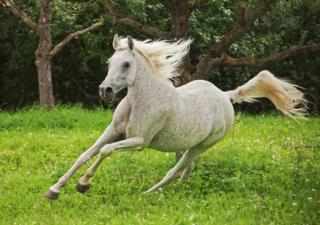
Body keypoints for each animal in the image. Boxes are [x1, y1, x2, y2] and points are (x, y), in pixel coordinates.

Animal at [44, 34, 304, 200]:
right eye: (110, 62)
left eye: (126, 64)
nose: (104, 91)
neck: (141, 100)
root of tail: (224, 96)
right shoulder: (113, 131)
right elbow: (86, 154)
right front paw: (54, 190)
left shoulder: (139, 142)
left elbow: (105, 151)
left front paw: (83, 185)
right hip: (192, 143)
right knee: (186, 166)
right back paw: (183, 186)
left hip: (204, 144)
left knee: (175, 169)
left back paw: (149, 193)